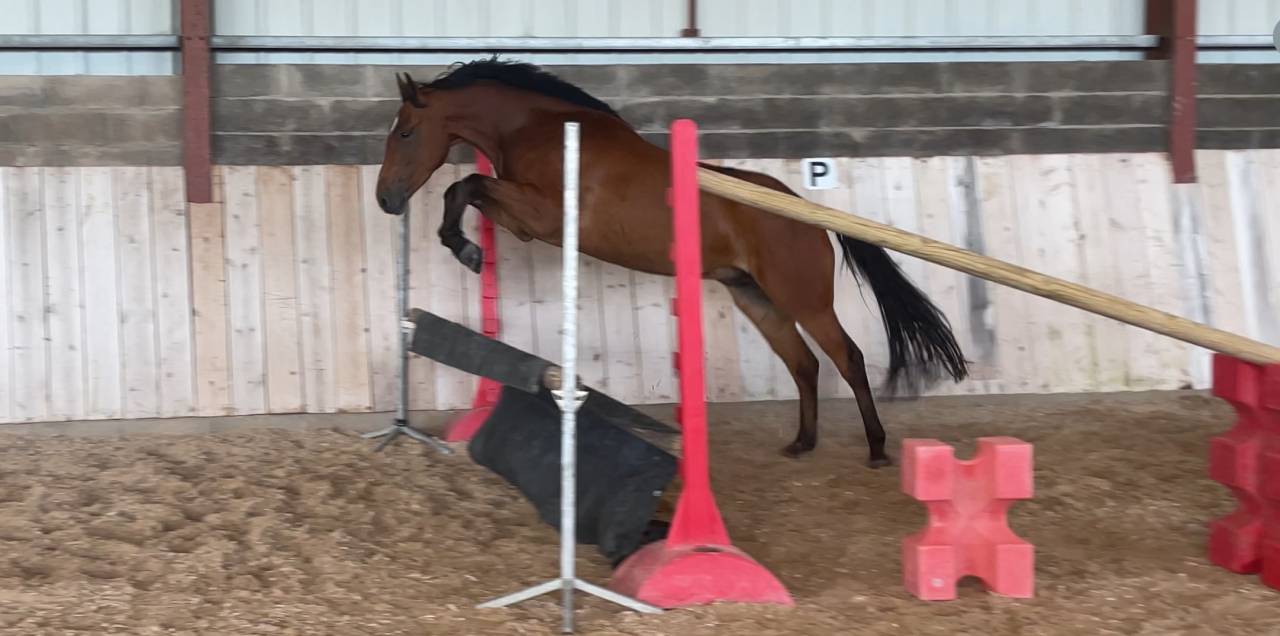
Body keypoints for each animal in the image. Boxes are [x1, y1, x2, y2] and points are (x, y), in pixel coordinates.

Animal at [374, 58, 968, 468]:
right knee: (804, 363)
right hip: (755, 297)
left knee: (847, 358)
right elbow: (468, 188)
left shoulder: (543, 217)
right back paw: (802, 442)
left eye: (405, 131)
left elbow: (465, 185)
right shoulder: (526, 218)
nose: (385, 200)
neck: (539, 127)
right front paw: (465, 246)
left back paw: (876, 448)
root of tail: (804, 212)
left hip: (803, 299)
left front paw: (465, 248)